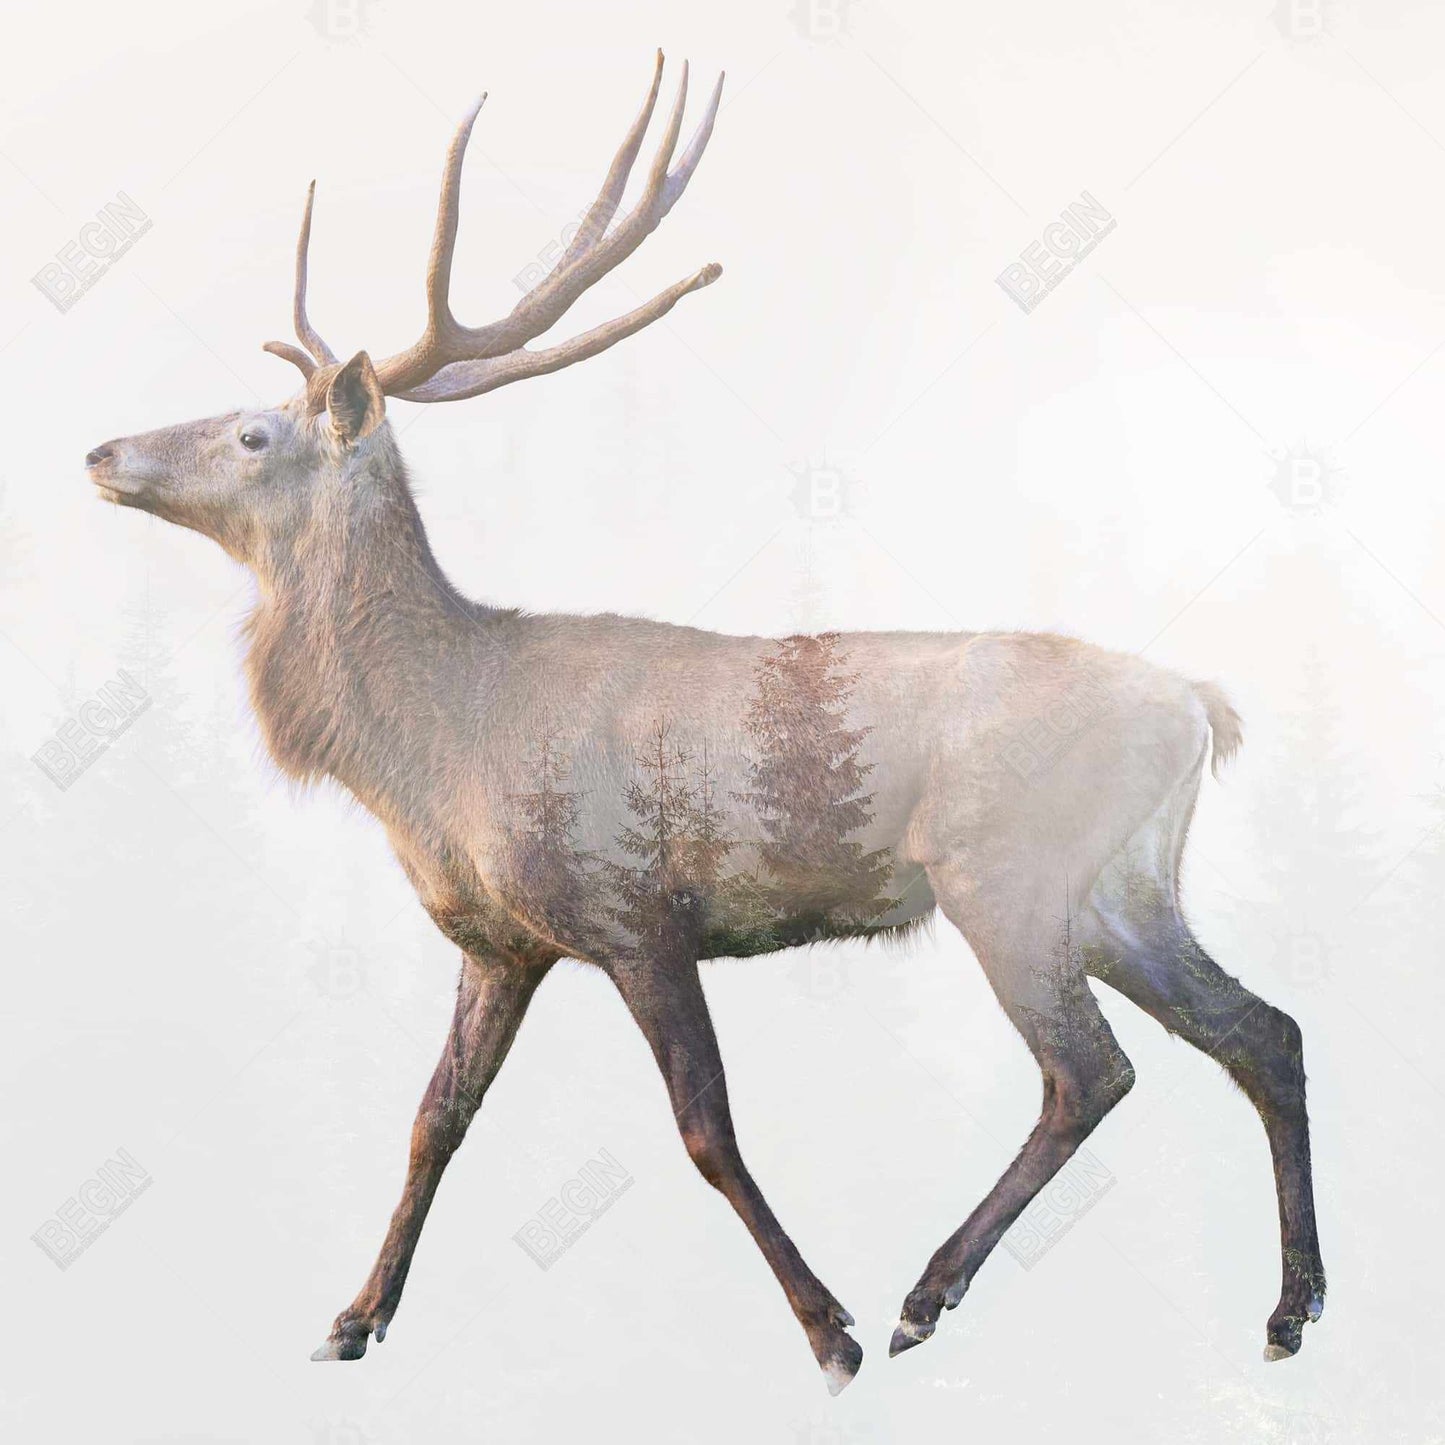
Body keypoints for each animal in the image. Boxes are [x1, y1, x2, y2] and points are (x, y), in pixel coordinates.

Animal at [83, 53, 1324, 1393]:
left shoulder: (635, 908)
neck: (436, 750)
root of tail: (1197, 703)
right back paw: (1289, 1306)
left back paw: (923, 1293)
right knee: (1263, 1029)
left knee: (1090, 1069)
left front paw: (826, 1329)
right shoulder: (498, 940)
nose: (101, 449)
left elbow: (704, 1128)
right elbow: (432, 1119)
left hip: (1009, 872)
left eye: (251, 432)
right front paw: (353, 1315)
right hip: (1123, 887)